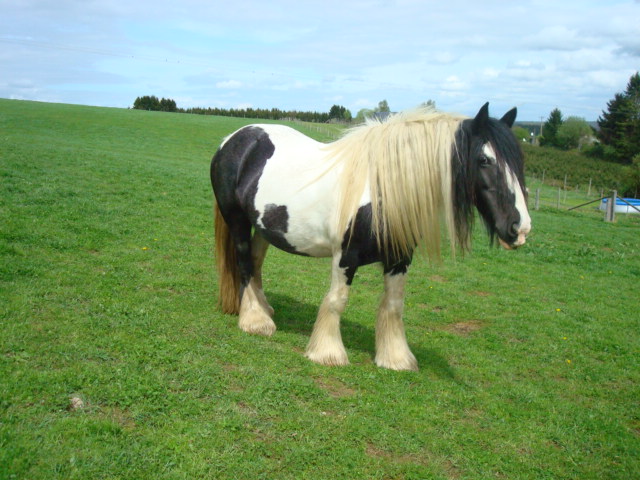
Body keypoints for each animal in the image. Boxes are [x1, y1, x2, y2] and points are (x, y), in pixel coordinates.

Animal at [209, 102, 528, 372]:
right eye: (484, 159)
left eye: (519, 161)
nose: (520, 228)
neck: (380, 189)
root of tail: (234, 139)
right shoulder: (345, 257)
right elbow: (337, 301)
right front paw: (328, 353)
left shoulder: (399, 260)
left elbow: (394, 305)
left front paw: (396, 358)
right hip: (237, 221)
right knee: (244, 264)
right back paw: (255, 320)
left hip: (264, 226)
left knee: (255, 261)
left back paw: (263, 310)